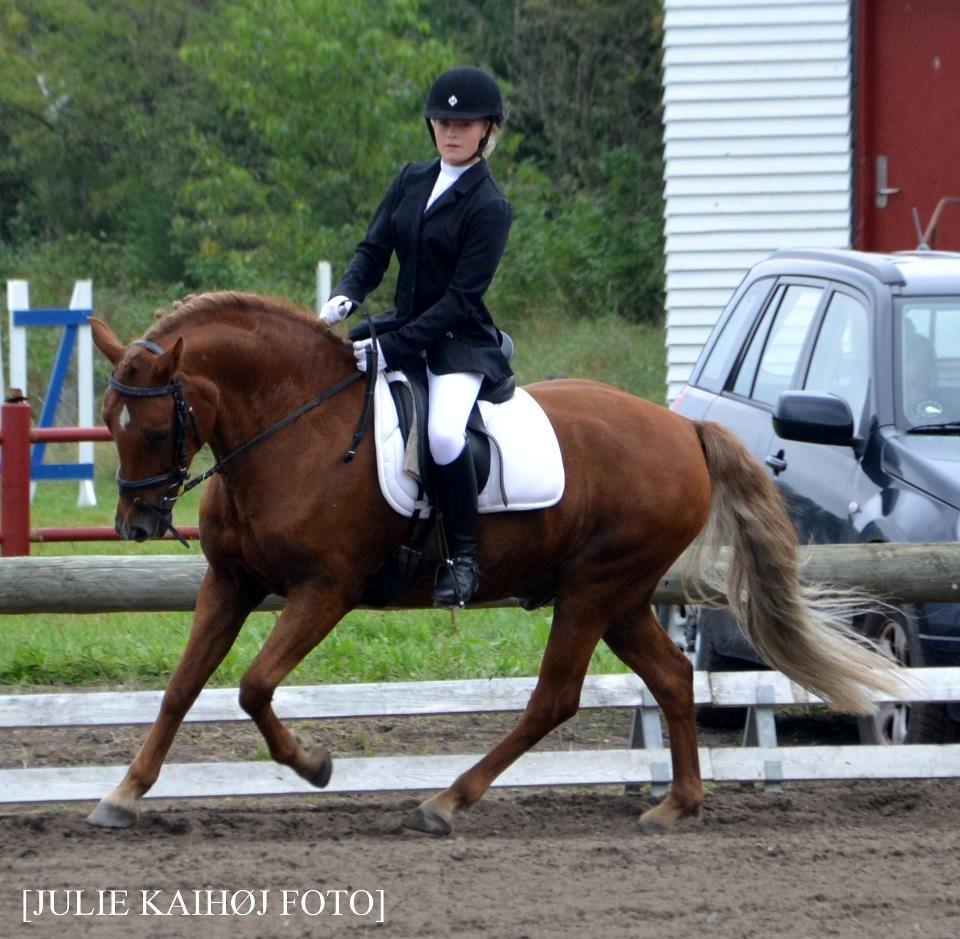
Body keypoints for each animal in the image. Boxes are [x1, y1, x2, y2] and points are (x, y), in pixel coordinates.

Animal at [86, 290, 904, 832]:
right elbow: (182, 686)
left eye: (154, 428)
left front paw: (315, 765)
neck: (296, 427)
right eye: (106, 420)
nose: (135, 524)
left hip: (593, 588)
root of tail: (682, 427)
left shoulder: (326, 589)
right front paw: (124, 794)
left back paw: (447, 800)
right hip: (620, 596)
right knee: (672, 676)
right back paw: (676, 803)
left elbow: (254, 685)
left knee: (555, 698)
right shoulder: (230, 582)